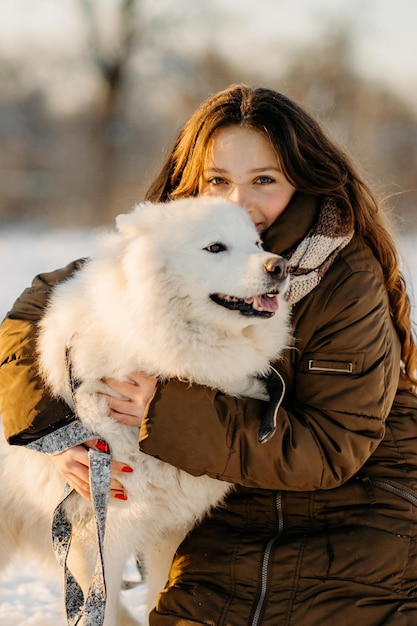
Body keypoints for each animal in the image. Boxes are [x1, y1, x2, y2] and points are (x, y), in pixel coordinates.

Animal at [0, 196, 290, 624]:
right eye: (215, 247)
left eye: (256, 243)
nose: (280, 266)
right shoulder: (100, 534)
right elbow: (101, 610)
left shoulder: (169, 530)